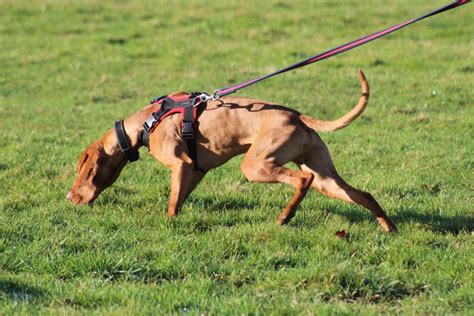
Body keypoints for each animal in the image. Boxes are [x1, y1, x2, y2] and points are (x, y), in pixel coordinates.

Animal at [68, 69, 398, 232]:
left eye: (82, 171)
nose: (70, 197)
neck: (147, 122)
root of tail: (296, 116)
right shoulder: (194, 169)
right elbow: (180, 196)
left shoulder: (179, 163)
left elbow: (173, 204)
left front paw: (168, 223)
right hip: (325, 175)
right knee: (364, 195)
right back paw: (388, 227)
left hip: (257, 166)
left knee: (303, 180)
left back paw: (286, 216)